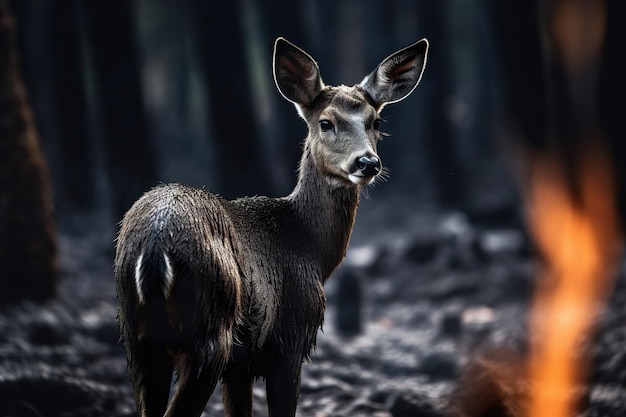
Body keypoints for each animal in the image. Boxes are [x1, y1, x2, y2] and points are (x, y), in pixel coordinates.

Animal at [113, 36, 424, 416]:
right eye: (326, 122)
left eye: (376, 121)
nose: (367, 162)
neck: (309, 249)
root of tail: (154, 247)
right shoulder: (289, 341)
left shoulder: (240, 365)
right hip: (210, 332)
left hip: (136, 341)